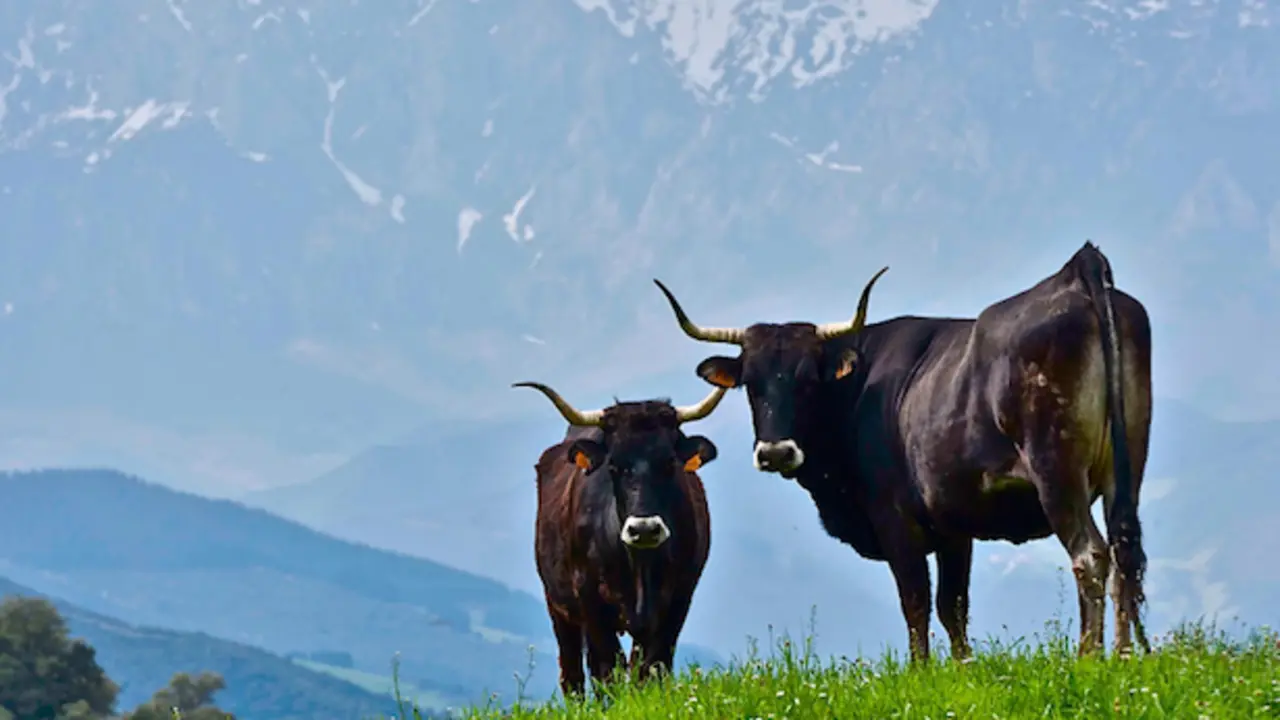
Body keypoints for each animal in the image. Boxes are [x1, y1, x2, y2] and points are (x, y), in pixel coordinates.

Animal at [515, 379, 726, 698]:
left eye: (669, 463)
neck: (639, 565)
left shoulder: (680, 595)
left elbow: (653, 665)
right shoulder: (589, 596)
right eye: (613, 466)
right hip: (558, 604)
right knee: (573, 673)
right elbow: (606, 667)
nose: (644, 529)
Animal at [651, 241, 1152, 662]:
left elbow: (915, 601)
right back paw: (1126, 656)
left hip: (1056, 470)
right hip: (1126, 466)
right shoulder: (954, 527)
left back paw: (1089, 657)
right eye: (750, 384)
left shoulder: (896, 520)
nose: (775, 452)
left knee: (1090, 555)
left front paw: (921, 670)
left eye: (807, 378)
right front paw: (962, 669)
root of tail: (1077, 273)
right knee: (1125, 553)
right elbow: (953, 606)